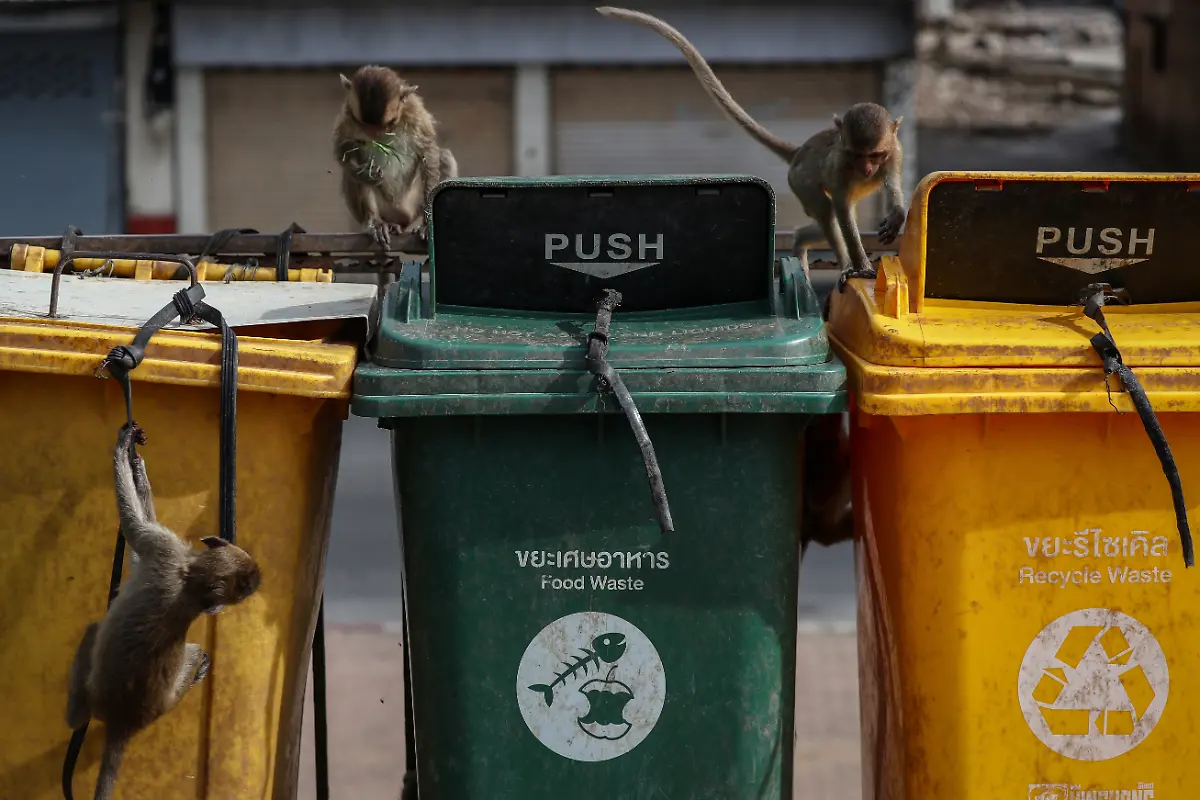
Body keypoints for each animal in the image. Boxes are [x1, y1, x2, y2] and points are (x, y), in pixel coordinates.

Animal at [64, 422, 262, 800]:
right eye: (245, 587)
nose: (254, 585)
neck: (189, 582)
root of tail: (125, 721)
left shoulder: (164, 550)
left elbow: (133, 527)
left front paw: (124, 451)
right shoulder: (172, 556)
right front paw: (138, 467)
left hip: (92, 690)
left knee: (94, 635)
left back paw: (74, 719)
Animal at [333, 65, 459, 250]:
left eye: (389, 122)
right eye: (364, 124)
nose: (374, 134)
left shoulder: (415, 112)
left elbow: (428, 152)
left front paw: (427, 224)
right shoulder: (347, 116)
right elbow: (341, 148)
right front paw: (365, 174)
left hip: (411, 205)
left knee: (444, 157)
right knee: (350, 175)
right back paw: (375, 222)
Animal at [595, 7, 907, 288]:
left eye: (876, 155)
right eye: (856, 155)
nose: (867, 169)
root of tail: (798, 151)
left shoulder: (895, 152)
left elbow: (892, 186)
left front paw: (897, 217)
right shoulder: (841, 164)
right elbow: (841, 208)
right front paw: (861, 267)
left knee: (828, 218)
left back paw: (800, 240)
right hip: (799, 181)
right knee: (829, 212)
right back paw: (834, 260)